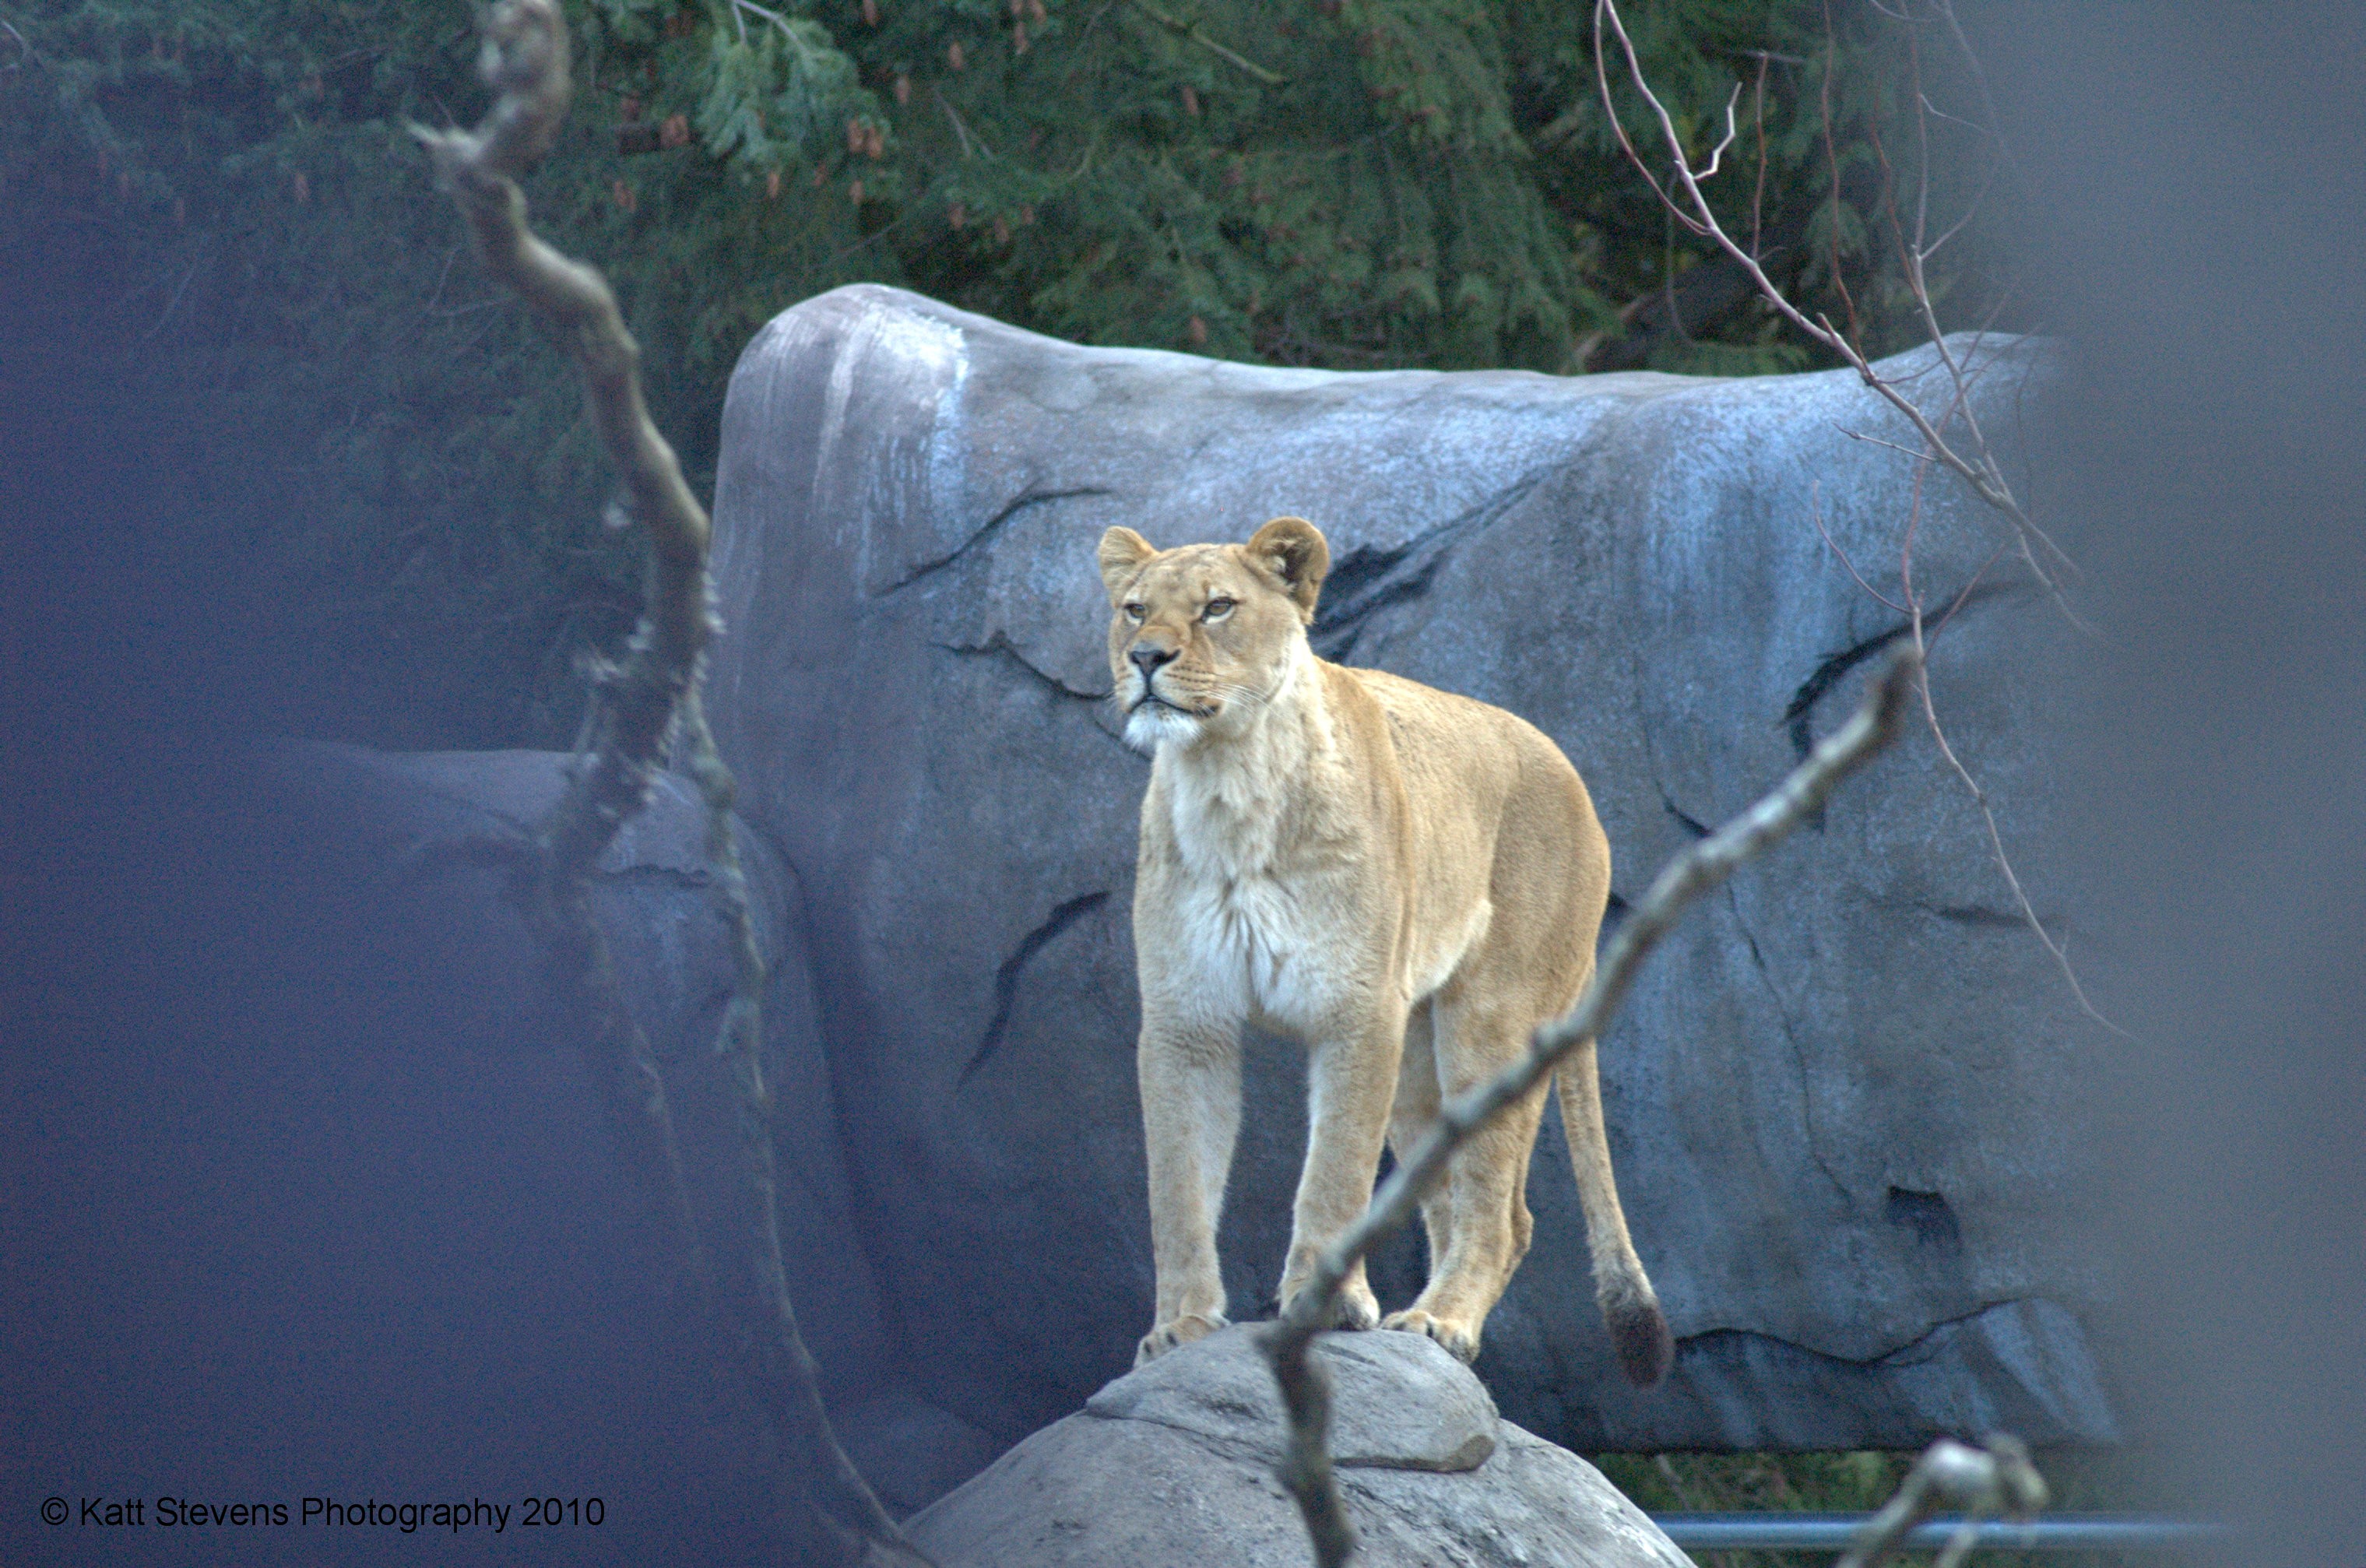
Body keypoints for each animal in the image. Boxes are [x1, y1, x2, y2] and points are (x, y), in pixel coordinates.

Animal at [1098, 516, 1671, 1386]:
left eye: (1217, 607)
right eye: (1134, 610)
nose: (1145, 658)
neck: (1229, 780)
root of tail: (1575, 778)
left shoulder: (1358, 1010)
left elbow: (1333, 1171)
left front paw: (1325, 1306)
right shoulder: (1184, 1018)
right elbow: (1179, 1183)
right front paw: (1180, 1328)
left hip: (1491, 1021)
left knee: (1500, 1209)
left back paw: (1442, 1321)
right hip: (1417, 1060)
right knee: (1463, 1203)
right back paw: (1420, 1325)